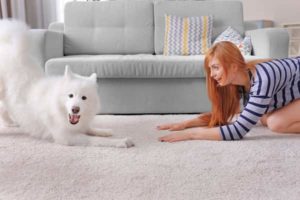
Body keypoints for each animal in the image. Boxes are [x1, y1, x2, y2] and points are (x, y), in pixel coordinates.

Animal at [0, 19, 134, 148]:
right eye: (70, 95)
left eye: (84, 98)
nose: (75, 109)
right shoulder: (66, 136)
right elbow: (94, 140)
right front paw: (120, 141)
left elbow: (90, 129)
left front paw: (104, 131)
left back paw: (10, 123)